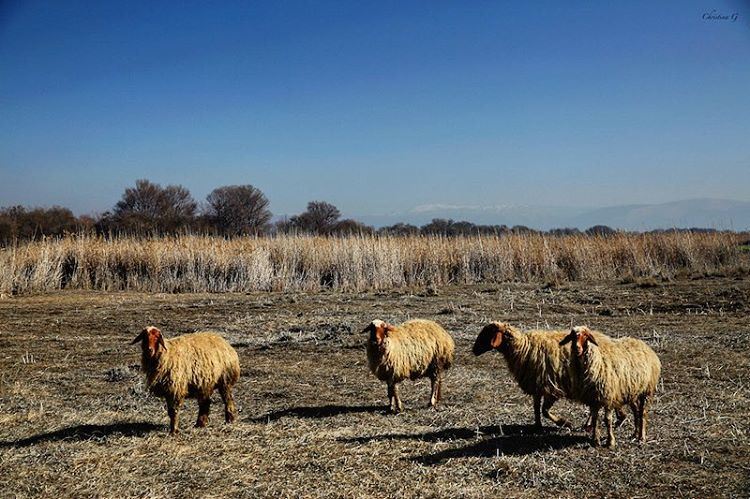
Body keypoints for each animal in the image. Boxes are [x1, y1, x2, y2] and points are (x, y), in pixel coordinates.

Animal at [476, 322, 628, 432]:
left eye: (487, 334)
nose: (474, 349)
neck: (523, 348)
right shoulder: (537, 386)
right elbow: (536, 408)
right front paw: (537, 426)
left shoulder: (551, 387)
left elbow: (544, 410)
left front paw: (565, 423)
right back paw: (617, 418)